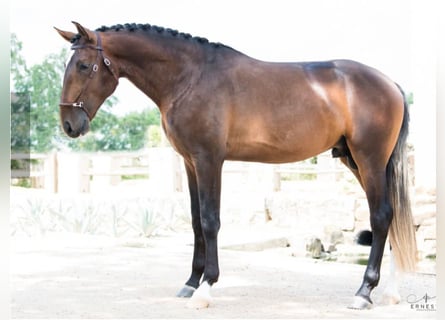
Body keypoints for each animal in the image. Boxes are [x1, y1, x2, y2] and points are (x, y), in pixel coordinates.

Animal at [55, 21, 416, 308]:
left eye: (84, 65)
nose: (69, 125)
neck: (190, 77)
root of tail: (391, 84)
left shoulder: (209, 159)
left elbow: (210, 220)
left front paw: (206, 288)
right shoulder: (190, 163)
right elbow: (196, 221)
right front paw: (190, 283)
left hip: (369, 159)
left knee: (381, 216)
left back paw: (364, 292)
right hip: (356, 161)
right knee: (390, 217)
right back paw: (390, 291)